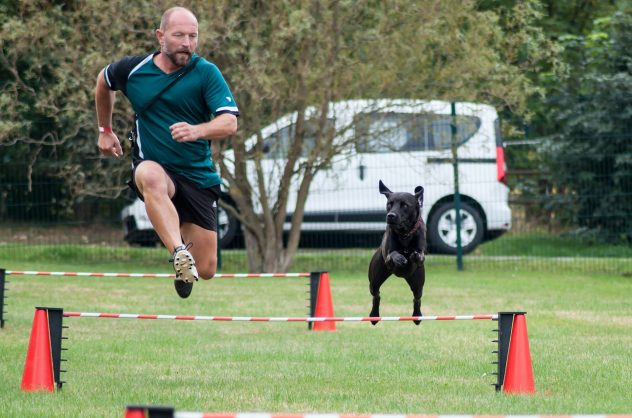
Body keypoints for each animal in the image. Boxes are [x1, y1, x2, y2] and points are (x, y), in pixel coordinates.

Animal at [368, 179, 428, 324]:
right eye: (389, 204)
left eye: (405, 205)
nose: (391, 215)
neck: (404, 233)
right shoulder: (388, 257)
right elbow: (392, 254)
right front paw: (399, 258)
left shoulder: (421, 250)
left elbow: (420, 255)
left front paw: (415, 256)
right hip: (374, 279)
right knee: (376, 295)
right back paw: (374, 316)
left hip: (417, 283)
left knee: (417, 298)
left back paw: (417, 316)